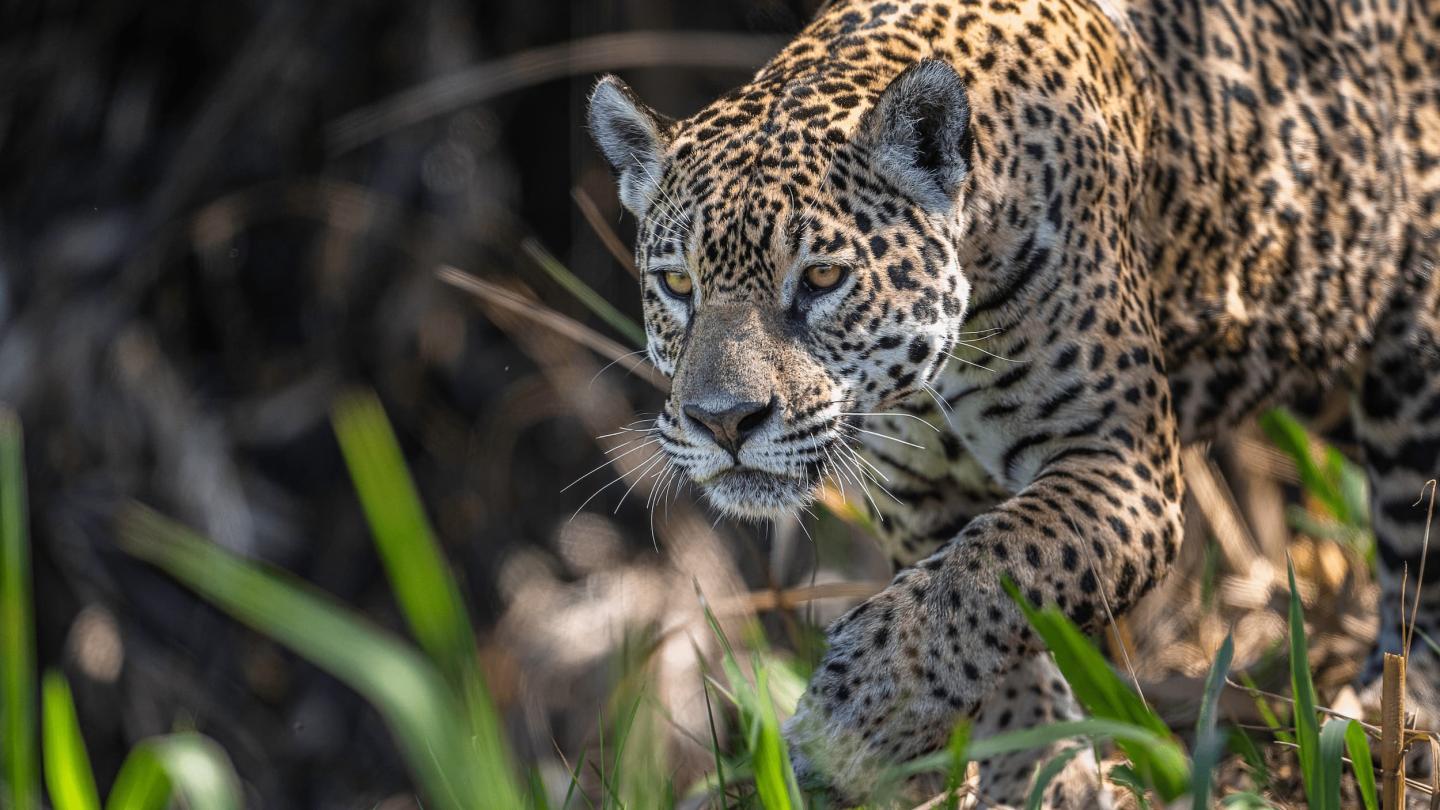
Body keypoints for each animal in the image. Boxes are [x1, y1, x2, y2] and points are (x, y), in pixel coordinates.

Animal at [587, 0, 1440, 804]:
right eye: (677, 283)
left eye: (824, 278)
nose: (723, 421)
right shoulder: (917, 496)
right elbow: (981, 608)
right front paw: (1038, 771)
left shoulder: (1121, 462)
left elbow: (990, 569)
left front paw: (856, 719)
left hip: (1414, 369)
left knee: (1418, 554)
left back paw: (1391, 723)